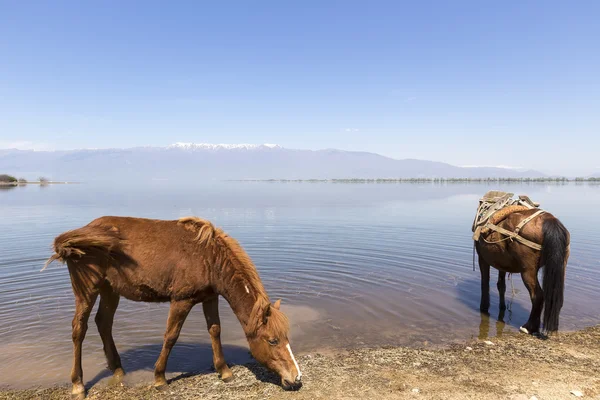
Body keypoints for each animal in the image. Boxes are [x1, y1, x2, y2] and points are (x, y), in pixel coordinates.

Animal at [45, 217, 304, 398]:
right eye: (272, 340)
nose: (297, 379)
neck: (209, 258)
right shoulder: (182, 300)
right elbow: (171, 336)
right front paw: (160, 377)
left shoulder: (210, 298)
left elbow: (215, 330)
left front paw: (224, 371)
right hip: (87, 290)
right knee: (79, 329)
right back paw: (78, 385)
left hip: (110, 290)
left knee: (103, 323)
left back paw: (117, 369)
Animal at [476, 206, 568, 334]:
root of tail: (550, 220)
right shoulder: (502, 264)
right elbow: (501, 286)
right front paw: (502, 307)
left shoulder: (482, 258)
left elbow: (484, 284)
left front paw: (484, 308)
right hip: (561, 266)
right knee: (556, 296)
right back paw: (553, 327)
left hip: (528, 270)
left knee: (538, 296)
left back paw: (529, 327)